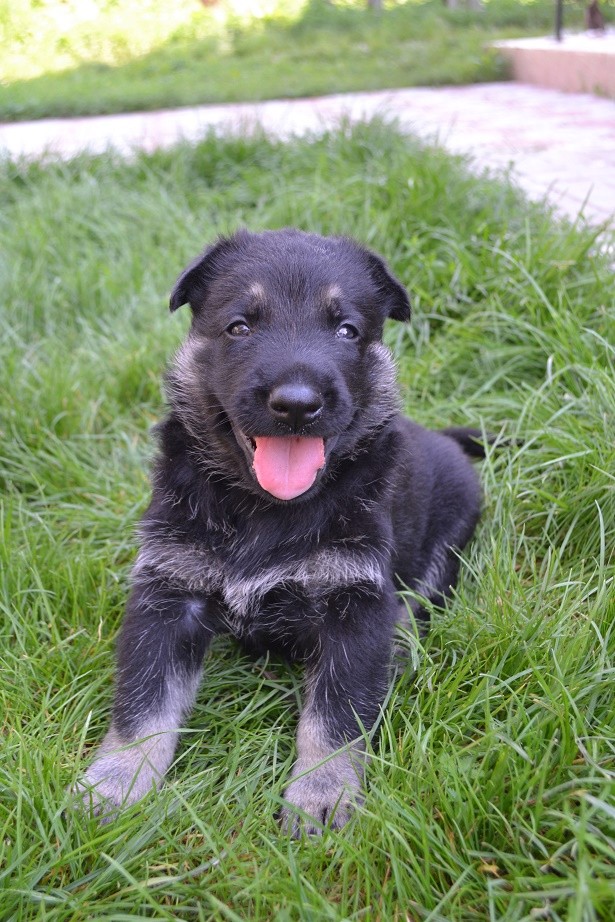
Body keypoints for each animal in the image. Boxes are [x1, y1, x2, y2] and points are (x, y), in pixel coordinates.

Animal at [77, 228, 484, 832]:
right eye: (239, 327)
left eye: (347, 330)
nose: (296, 405)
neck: (266, 510)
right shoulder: (169, 591)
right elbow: (144, 700)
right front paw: (114, 784)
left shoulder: (355, 603)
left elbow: (335, 716)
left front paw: (321, 796)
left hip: (449, 531)